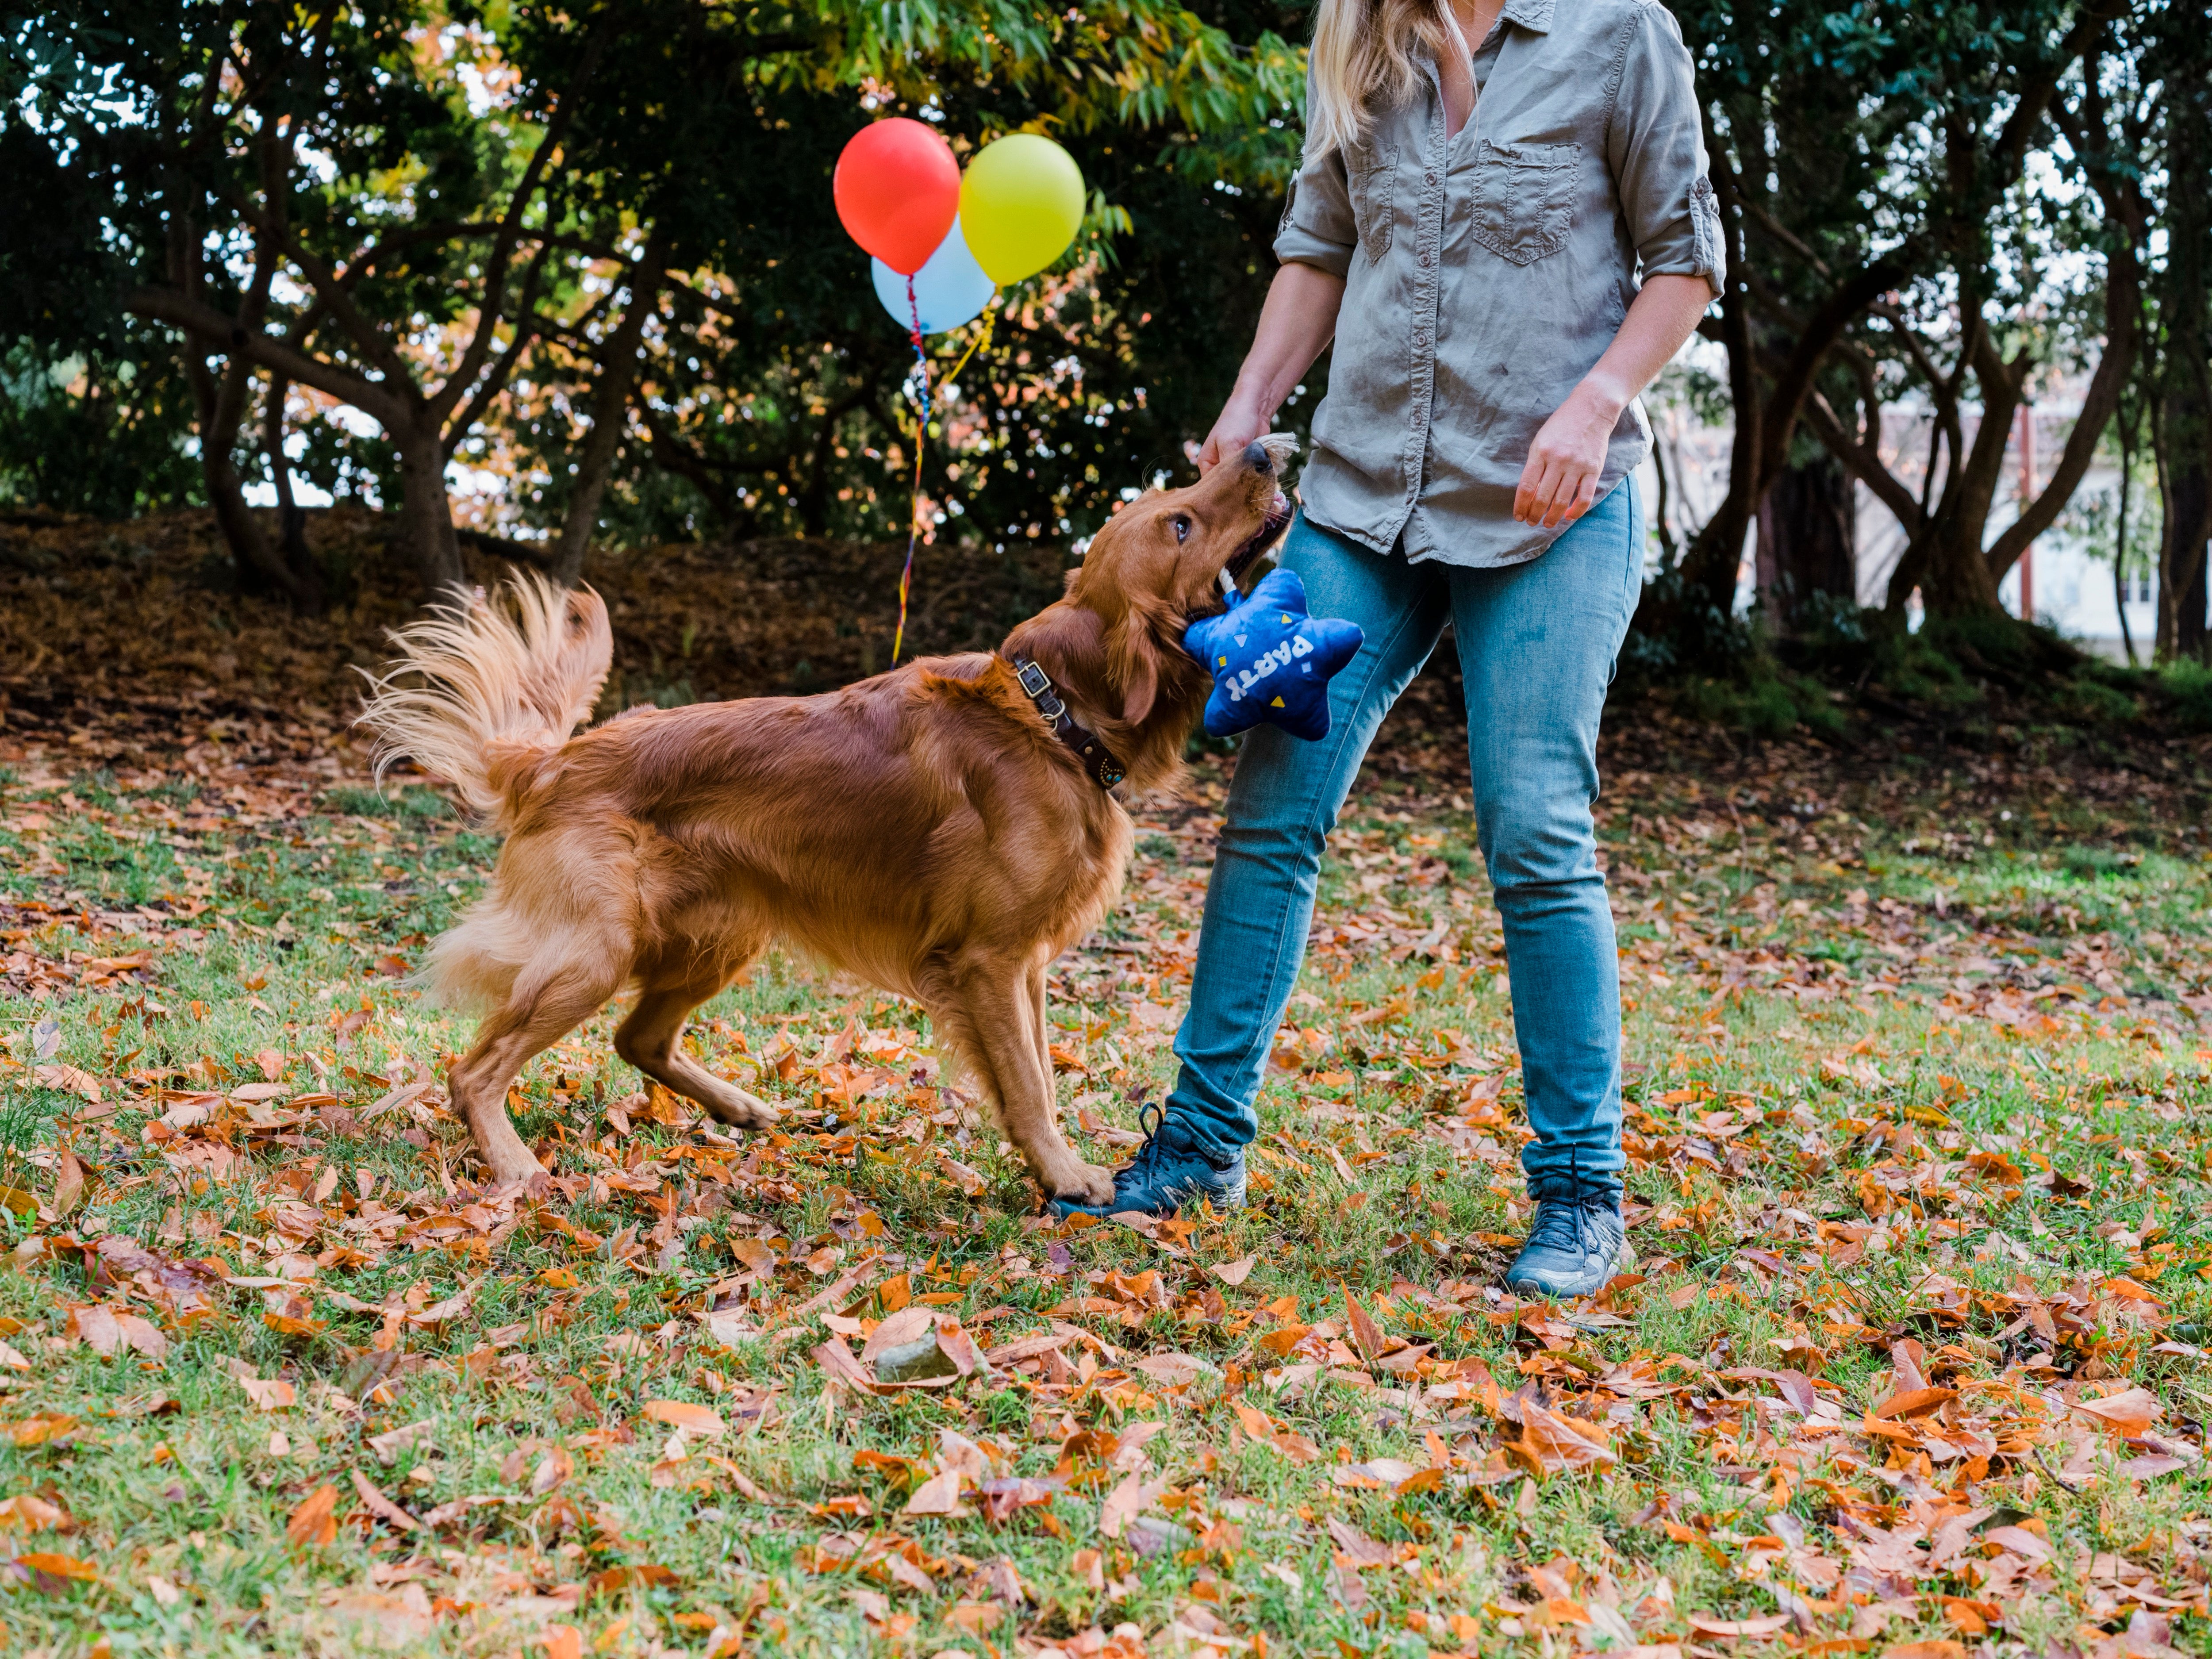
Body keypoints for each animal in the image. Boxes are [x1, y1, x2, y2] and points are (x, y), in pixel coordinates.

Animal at [361, 436, 1292, 1203]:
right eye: (1180, 523)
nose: (1266, 451)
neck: (1051, 719)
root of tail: (553, 762)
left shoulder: (1026, 966)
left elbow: (1041, 1075)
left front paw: (1052, 1164)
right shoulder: (990, 962)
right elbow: (1028, 1083)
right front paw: (1065, 1176)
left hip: (722, 934)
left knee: (638, 1037)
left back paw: (738, 1106)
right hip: (596, 949)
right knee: (475, 1071)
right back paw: (514, 1165)